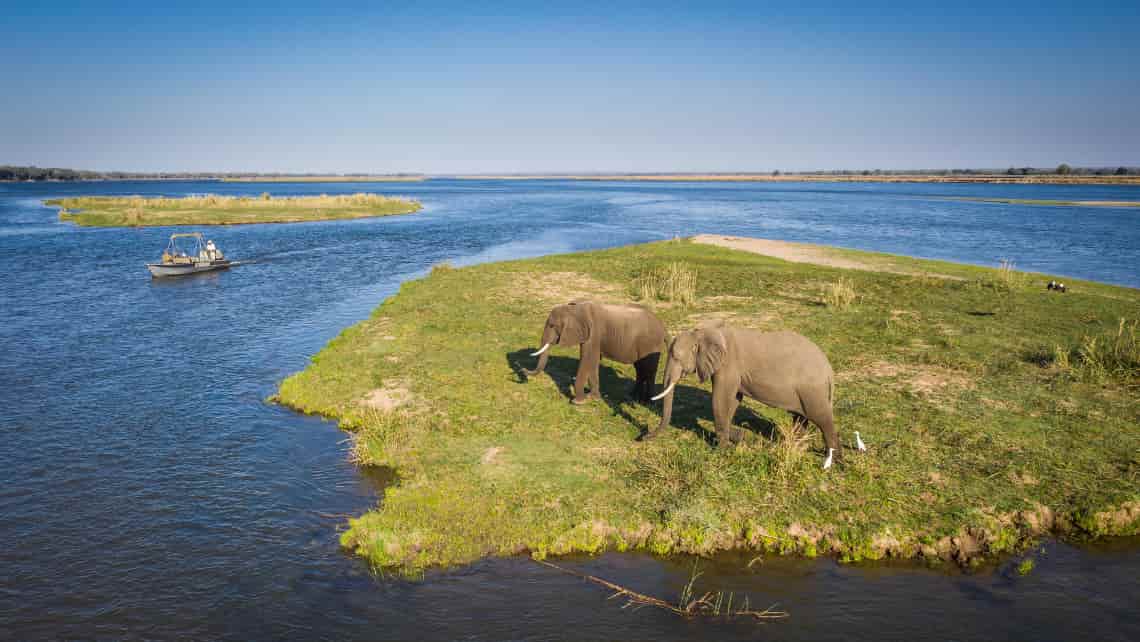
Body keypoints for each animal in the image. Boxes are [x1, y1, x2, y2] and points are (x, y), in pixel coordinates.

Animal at [524, 301, 665, 401]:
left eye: (552, 326)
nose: (523, 369)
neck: (575, 309)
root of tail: (662, 326)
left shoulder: (594, 334)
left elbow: (587, 359)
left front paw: (578, 402)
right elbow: (593, 361)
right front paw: (594, 398)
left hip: (651, 345)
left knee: (649, 370)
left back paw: (647, 401)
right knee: (640, 369)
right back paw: (633, 397)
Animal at [652, 326, 848, 467]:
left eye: (676, 357)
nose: (646, 436)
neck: (704, 331)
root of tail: (829, 371)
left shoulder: (728, 367)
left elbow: (720, 400)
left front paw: (722, 450)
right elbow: (733, 400)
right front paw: (740, 437)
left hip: (813, 391)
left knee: (822, 419)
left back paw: (834, 462)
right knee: (801, 418)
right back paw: (795, 447)